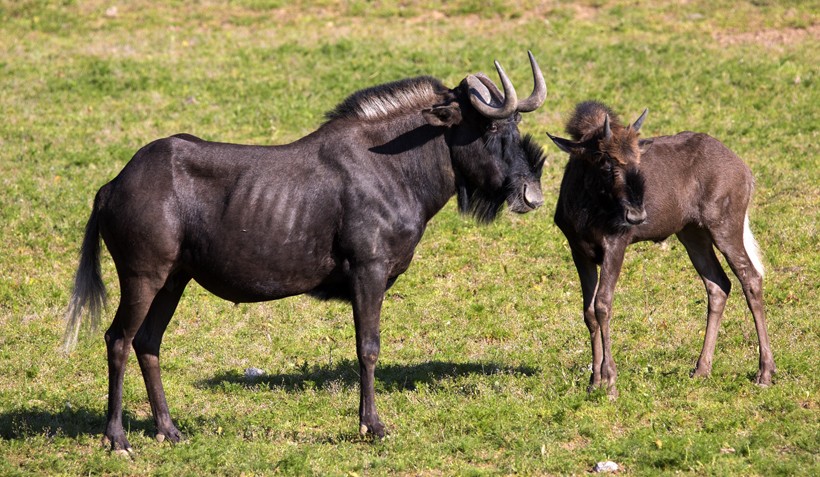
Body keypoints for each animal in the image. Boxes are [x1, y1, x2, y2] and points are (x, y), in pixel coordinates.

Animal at [552, 102, 776, 396]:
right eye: (605, 161)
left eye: (638, 159)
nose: (636, 215)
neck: (585, 208)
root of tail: (747, 172)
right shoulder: (578, 249)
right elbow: (588, 311)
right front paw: (594, 381)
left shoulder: (616, 243)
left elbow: (603, 304)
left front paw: (610, 382)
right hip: (692, 233)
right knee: (718, 285)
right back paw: (701, 369)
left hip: (725, 225)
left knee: (750, 277)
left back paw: (765, 372)